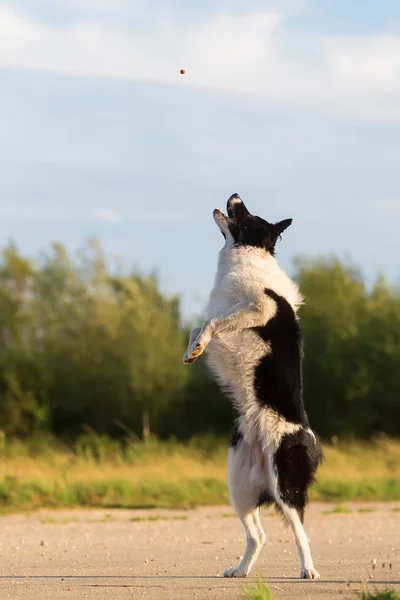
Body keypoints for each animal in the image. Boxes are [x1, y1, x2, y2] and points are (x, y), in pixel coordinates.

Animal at [184, 195, 322, 580]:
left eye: (246, 216)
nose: (234, 196)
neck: (247, 256)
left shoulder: (258, 307)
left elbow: (212, 321)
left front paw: (198, 346)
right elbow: (201, 322)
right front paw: (190, 350)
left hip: (283, 479)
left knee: (300, 529)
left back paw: (308, 570)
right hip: (240, 488)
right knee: (258, 535)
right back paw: (241, 570)